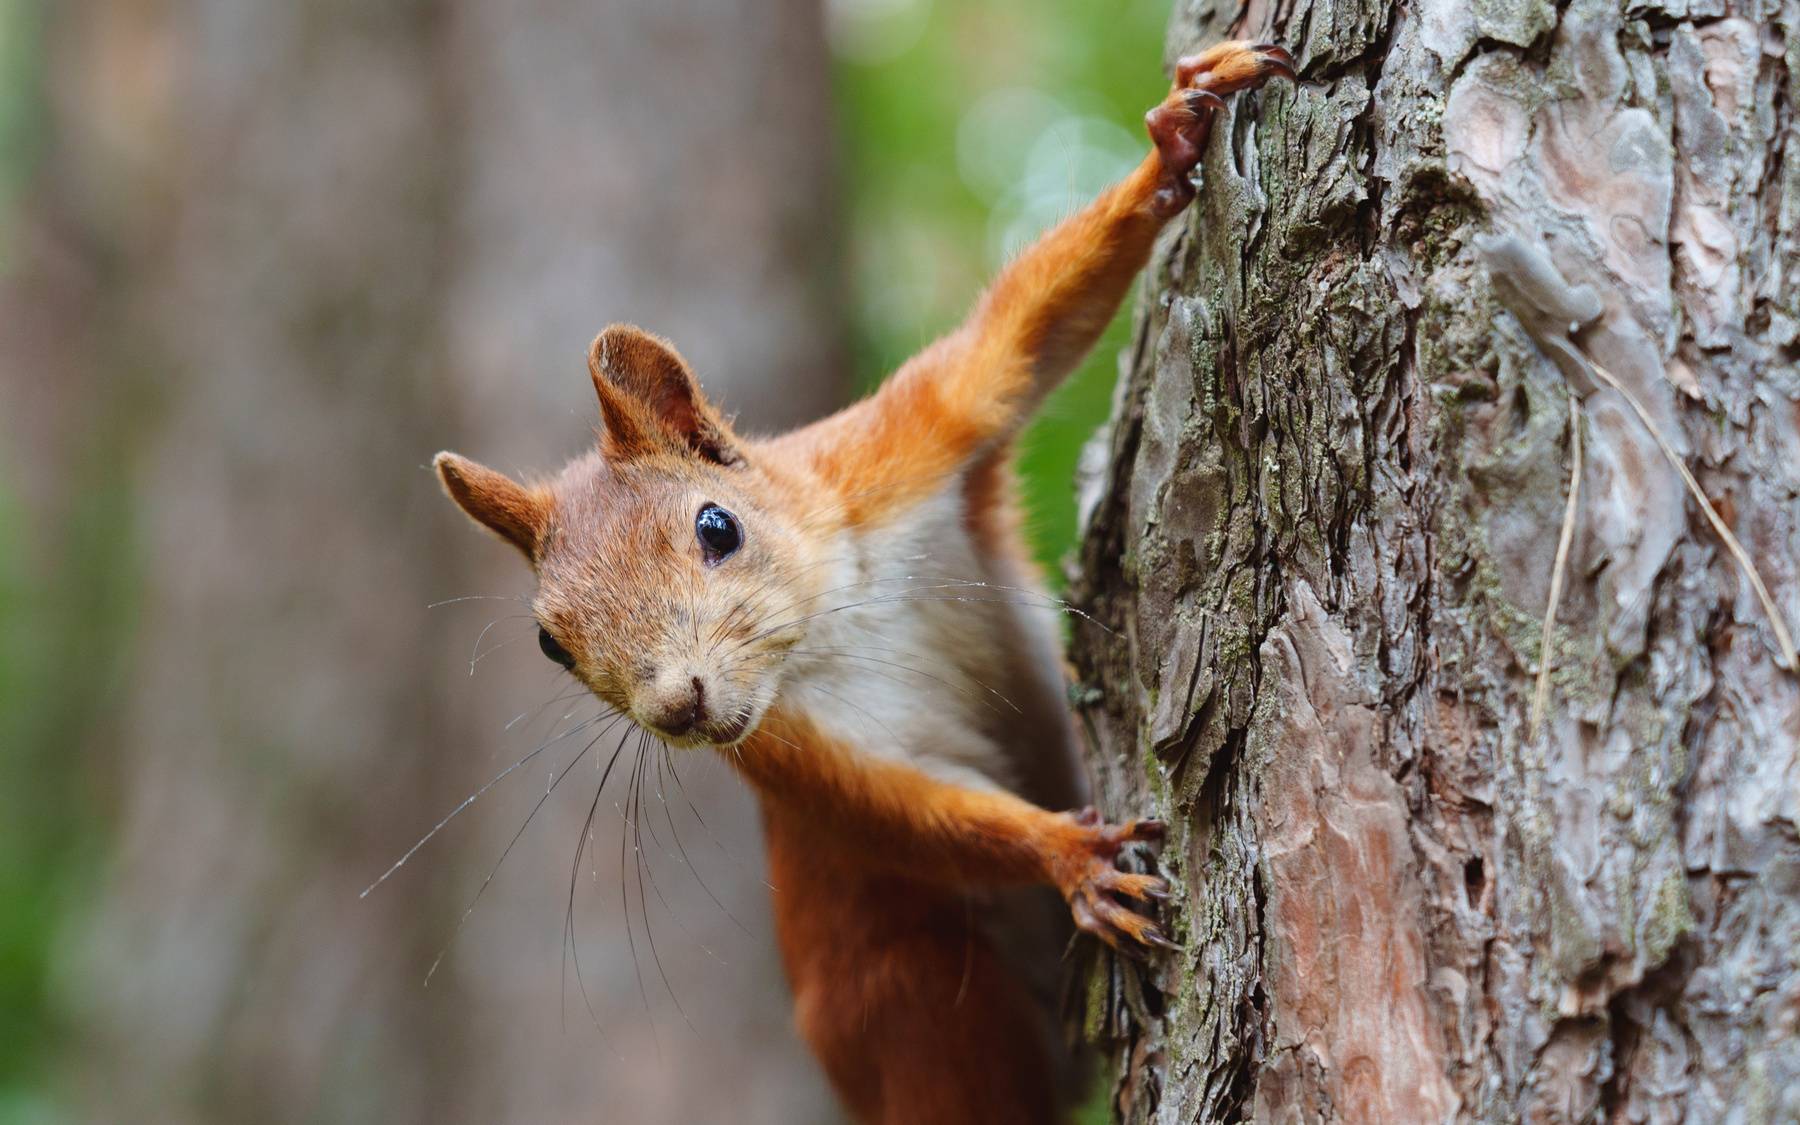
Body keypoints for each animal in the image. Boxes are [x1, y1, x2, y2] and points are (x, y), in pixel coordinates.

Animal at [434, 40, 1293, 1125]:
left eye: (716, 527)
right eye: (552, 644)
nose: (678, 708)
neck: (829, 618)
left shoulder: (897, 447)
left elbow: (1022, 335)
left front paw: (1174, 143)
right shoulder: (790, 753)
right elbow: (909, 815)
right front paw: (1071, 857)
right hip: (916, 1011)